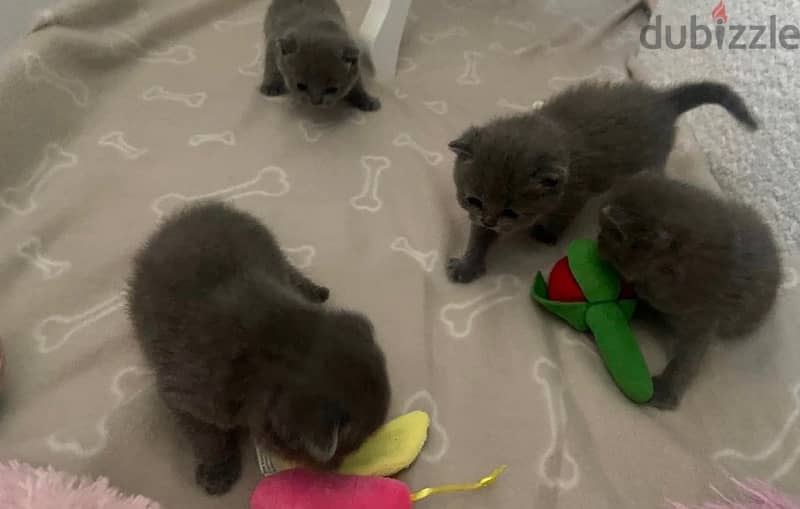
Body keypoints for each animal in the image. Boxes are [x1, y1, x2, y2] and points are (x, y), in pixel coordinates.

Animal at [126, 201, 392, 492]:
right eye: (350, 447)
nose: (336, 469)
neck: (279, 343)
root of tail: (194, 209)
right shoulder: (184, 398)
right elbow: (207, 437)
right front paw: (218, 471)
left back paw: (316, 291)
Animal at [446, 81, 760, 284]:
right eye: (474, 200)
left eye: (512, 212)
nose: (489, 219)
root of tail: (663, 99)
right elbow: (478, 237)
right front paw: (467, 264)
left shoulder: (575, 193)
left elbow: (562, 215)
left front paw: (546, 234)